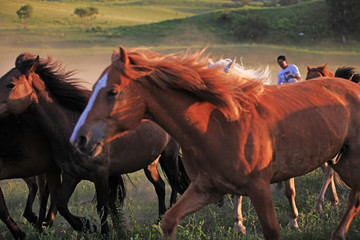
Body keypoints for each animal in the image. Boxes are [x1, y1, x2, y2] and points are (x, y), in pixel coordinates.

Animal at [0, 51, 191, 237]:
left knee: (174, 182)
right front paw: (86, 225)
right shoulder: (71, 175)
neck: (70, 128)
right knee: (160, 186)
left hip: (169, 155)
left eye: (10, 85)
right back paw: (158, 220)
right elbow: (62, 204)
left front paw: (103, 232)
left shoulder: (100, 173)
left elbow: (101, 207)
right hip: (150, 162)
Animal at [71, 46, 360, 240]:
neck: (220, 125)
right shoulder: (206, 188)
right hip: (343, 161)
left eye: (112, 91)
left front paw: (291, 221)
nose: (79, 138)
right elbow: (169, 220)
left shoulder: (258, 186)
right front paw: (237, 223)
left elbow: (274, 225)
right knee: (354, 197)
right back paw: (337, 232)